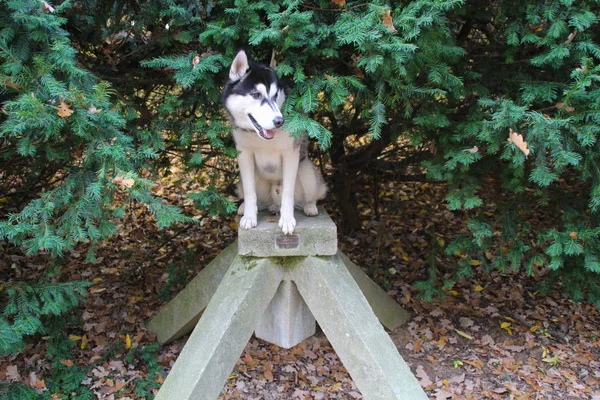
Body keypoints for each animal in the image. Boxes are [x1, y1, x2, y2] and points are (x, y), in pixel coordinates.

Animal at [223, 51, 326, 236]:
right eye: (256, 95)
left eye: (275, 95)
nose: (279, 121)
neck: (262, 138)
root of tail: (274, 203)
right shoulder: (243, 154)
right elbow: (249, 191)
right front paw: (249, 216)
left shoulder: (291, 154)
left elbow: (287, 192)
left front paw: (287, 220)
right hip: (244, 180)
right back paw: (244, 207)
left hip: (307, 171)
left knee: (311, 194)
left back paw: (309, 206)